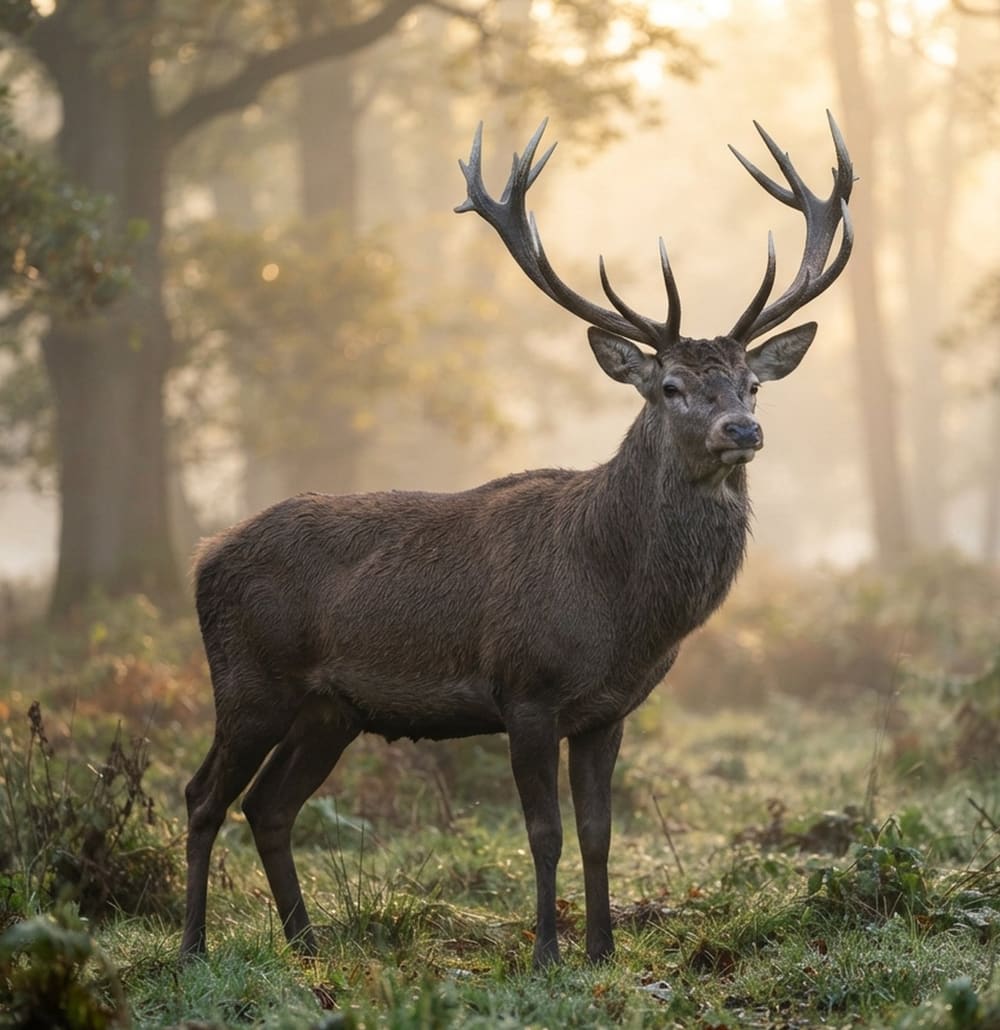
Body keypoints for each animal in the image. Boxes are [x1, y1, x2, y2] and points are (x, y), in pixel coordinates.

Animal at [180, 113, 854, 968]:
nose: (743, 430)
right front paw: (546, 954)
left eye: (753, 383)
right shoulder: (525, 689)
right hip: (249, 682)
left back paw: (306, 945)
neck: (620, 607)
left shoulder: (608, 710)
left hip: (330, 709)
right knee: (203, 795)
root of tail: (205, 555)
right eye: (671, 386)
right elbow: (544, 833)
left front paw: (601, 950)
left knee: (268, 805)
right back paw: (193, 947)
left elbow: (599, 832)